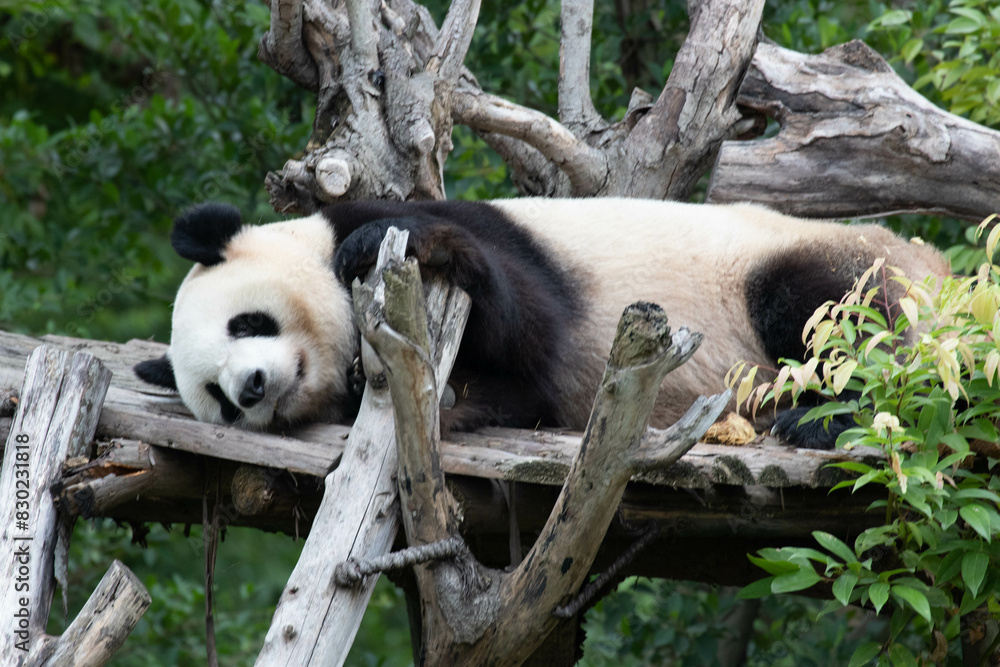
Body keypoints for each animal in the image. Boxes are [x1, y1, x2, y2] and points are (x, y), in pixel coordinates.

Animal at [134, 198, 950, 449]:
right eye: (214, 396)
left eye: (246, 322)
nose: (252, 388)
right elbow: (510, 390)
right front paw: (445, 399)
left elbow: (528, 317)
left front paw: (396, 245)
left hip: (813, 261)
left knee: (832, 313)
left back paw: (820, 420)